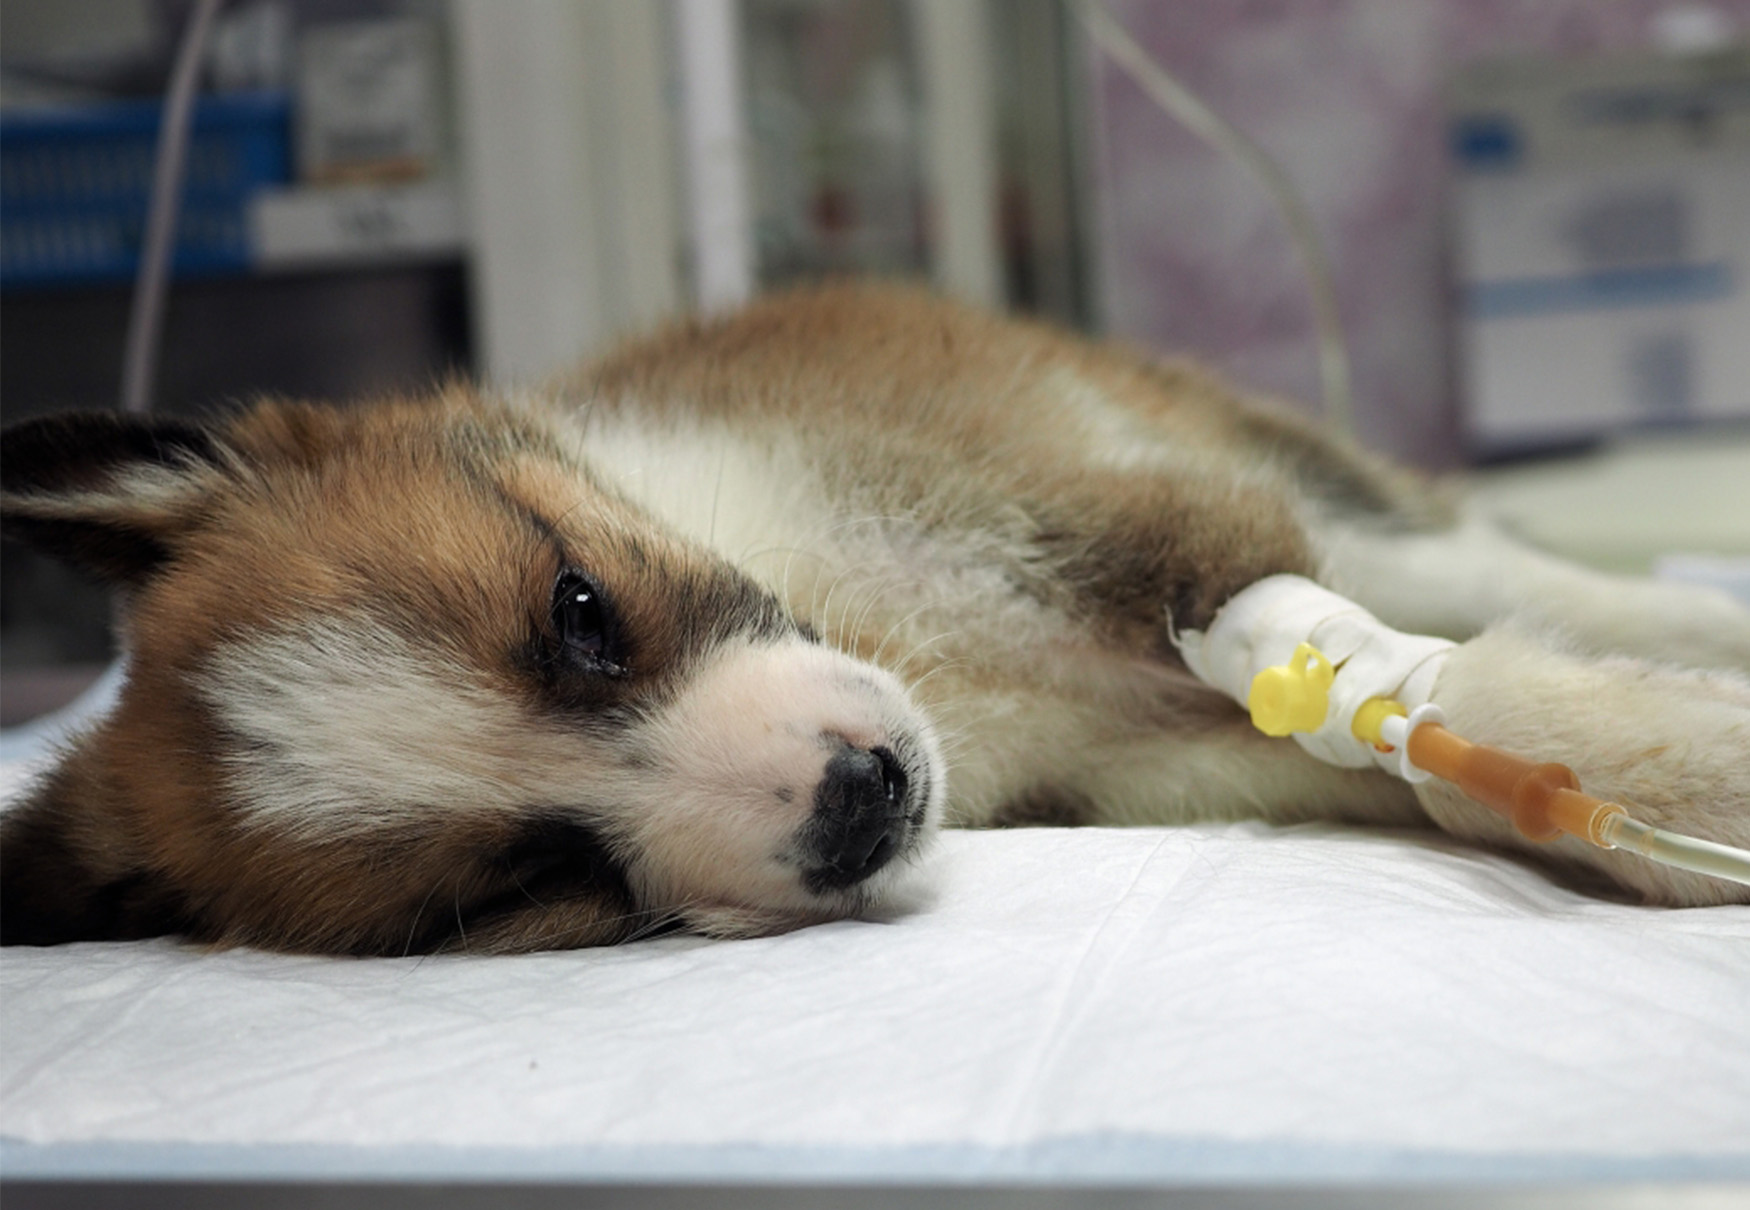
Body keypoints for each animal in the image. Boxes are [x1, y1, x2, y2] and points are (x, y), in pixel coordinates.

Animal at [3, 287, 1750, 959]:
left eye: (578, 609)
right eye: (525, 882)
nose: (860, 799)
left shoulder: (1112, 511)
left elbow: (1408, 666)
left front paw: (1703, 764)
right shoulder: (1161, 769)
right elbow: (1452, 753)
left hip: (1309, 480)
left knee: (1499, 567)